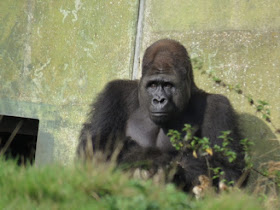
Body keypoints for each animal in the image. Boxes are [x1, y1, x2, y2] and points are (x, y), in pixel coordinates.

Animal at [77, 39, 246, 192]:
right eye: (152, 85)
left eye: (168, 85)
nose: (159, 100)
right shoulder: (114, 93)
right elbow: (96, 146)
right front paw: (147, 157)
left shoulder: (218, 107)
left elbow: (229, 169)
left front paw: (165, 164)